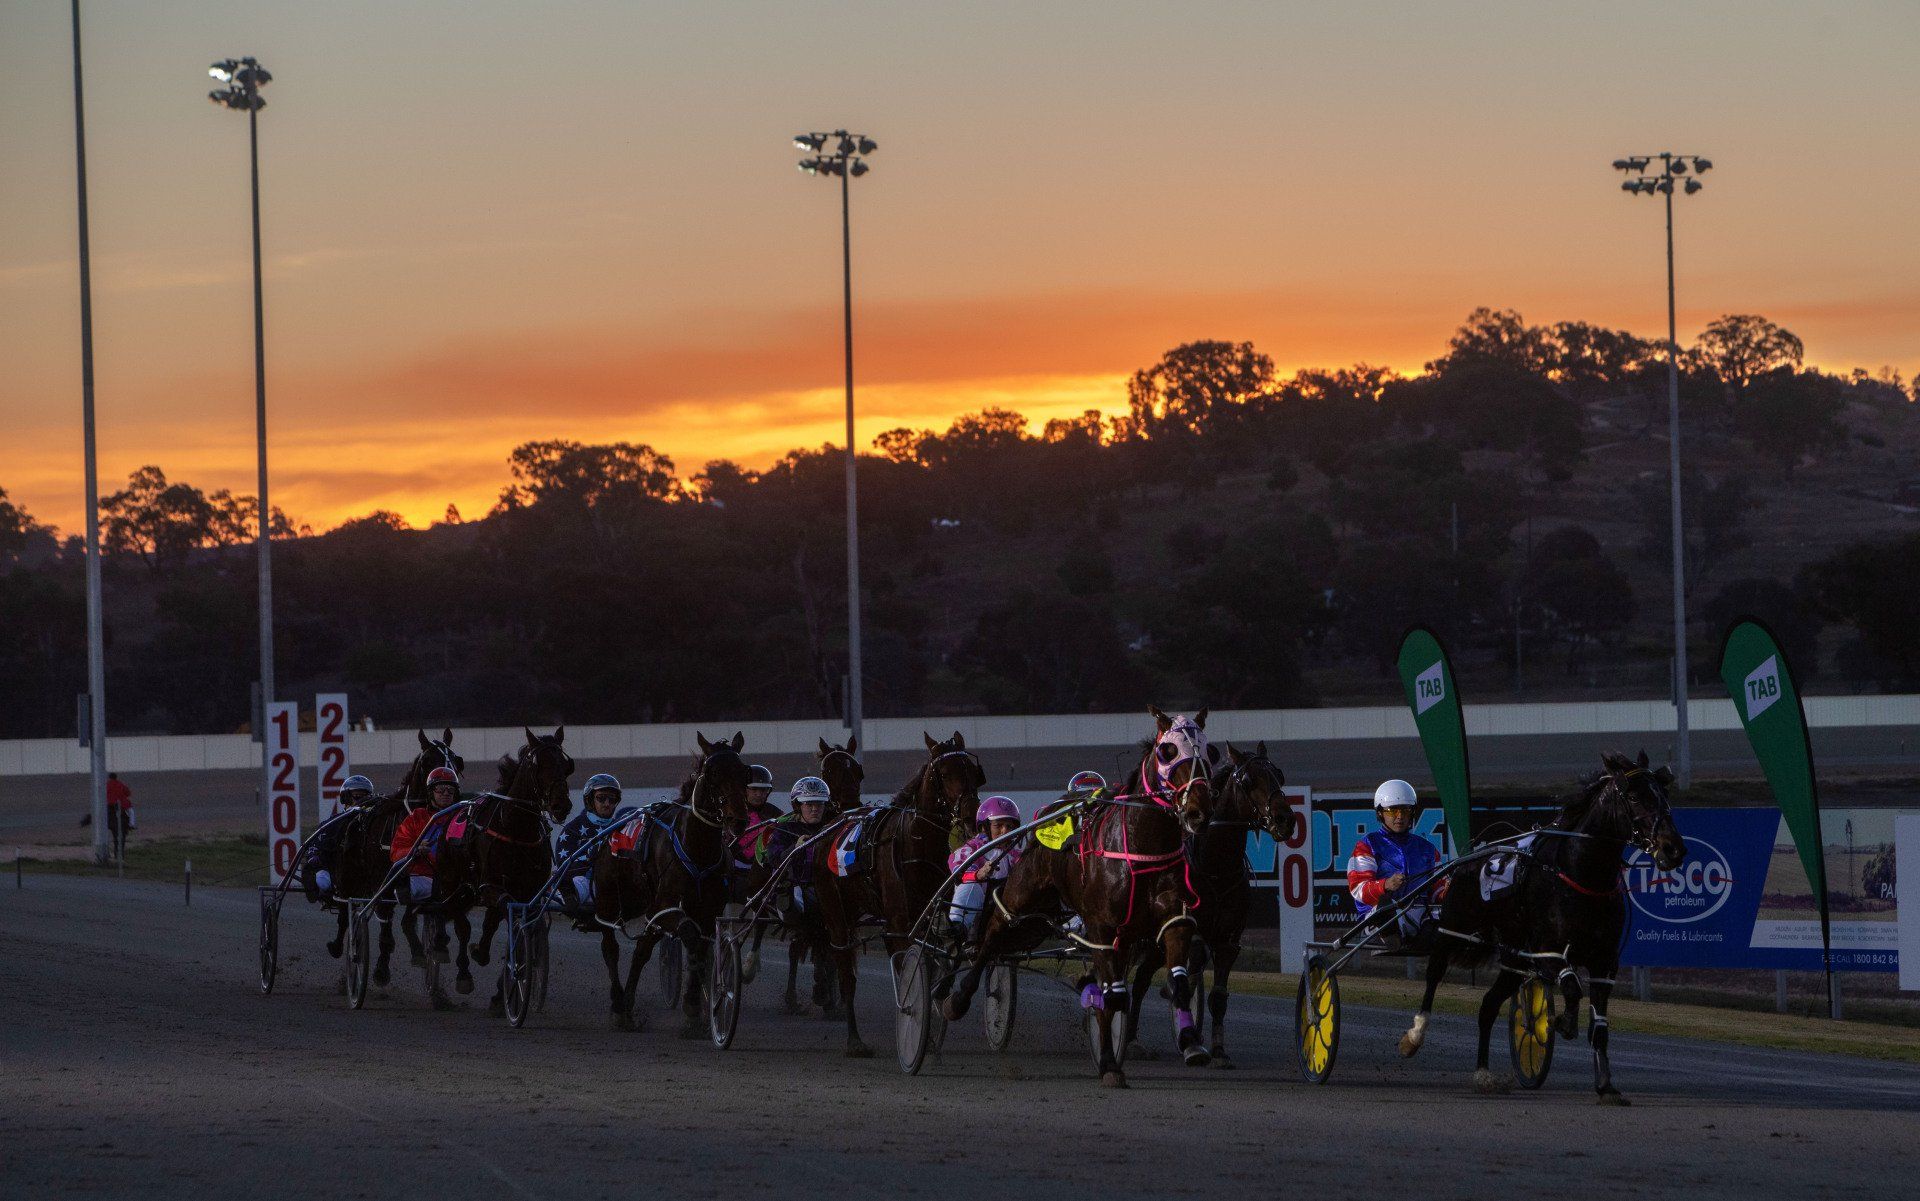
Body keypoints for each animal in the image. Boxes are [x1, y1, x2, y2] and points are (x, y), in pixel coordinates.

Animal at [590, 732, 752, 1035]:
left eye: (744, 772)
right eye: (712, 773)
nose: (737, 819)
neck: (697, 849)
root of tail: (610, 831)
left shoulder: (708, 910)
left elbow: (699, 947)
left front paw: (695, 1010)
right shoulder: (666, 907)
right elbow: (689, 937)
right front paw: (693, 1007)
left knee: (641, 951)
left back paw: (628, 1007)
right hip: (609, 900)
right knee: (610, 948)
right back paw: (618, 1006)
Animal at [808, 731, 984, 1057]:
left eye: (971, 771)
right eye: (943, 774)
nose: (970, 815)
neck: (917, 847)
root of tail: (835, 825)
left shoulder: (933, 918)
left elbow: (943, 958)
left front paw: (938, 1004)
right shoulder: (900, 923)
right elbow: (910, 971)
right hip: (837, 914)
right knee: (846, 972)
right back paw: (854, 1041)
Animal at [940, 707, 1216, 1087]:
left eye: (1209, 752)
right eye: (1168, 752)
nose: (1198, 811)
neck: (1140, 844)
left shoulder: (1172, 918)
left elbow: (1175, 978)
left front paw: (1190, 1042)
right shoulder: (1102, 928)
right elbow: (1114, 995)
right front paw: (1111, 1064)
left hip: (1047, 917)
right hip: (1026, 891)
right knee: (995, 927)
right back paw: (958, 997)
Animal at [1125, 739, 1294, 1069]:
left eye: (1279, 775)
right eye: (1248, 780)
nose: (1286, 819)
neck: (1216, 866)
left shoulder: (1228, 941)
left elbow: (1216, 996)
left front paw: (1218, 1050)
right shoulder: (1188, 933)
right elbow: (1184, 981)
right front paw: (1190, 1036)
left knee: (1142, 980)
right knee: (1132, 980)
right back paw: (1129, 1040)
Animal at [1400, 750, 1686, 1103]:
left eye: (1663, 794)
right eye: (1633, 797)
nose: (1673, 848)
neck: (1581, 874)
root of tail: (1471, 854)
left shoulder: (1604, 962)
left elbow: (1599, 1026)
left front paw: (1605, 1086)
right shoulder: (1547, 952)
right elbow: (1573, 988)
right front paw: (1561, 1022)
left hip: (1513, 958)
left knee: (1488, 1006)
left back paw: (1483, 1074)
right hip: (1454, 930)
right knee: (1434, 976)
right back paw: (1415, 1035)